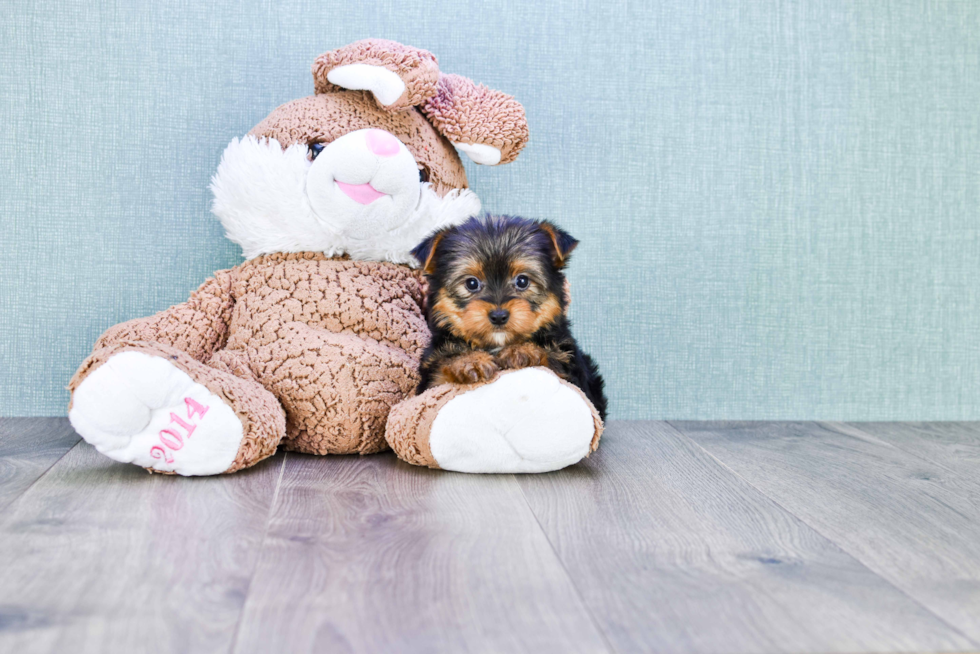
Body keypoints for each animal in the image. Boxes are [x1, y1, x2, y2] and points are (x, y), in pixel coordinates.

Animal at [408, 215, 604, 420]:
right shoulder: (431, 379)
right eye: (471, 283)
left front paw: (522, 350)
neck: (497, 344)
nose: (499, 316)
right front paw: (468, 361)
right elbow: (442, 372)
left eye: (522, 281)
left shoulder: (571, 371)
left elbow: (553, 363)